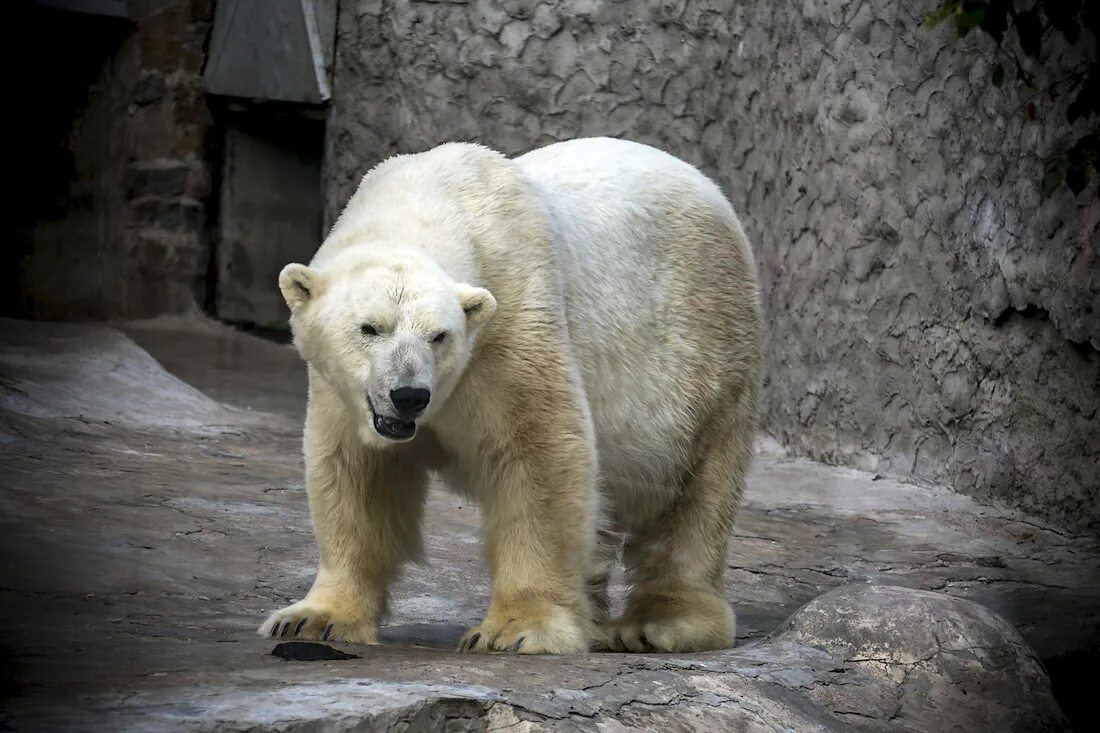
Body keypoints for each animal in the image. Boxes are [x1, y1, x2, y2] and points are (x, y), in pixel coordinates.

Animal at [259, 135, 756, 651]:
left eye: (439, 336)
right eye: (369, 328)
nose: (410, 395)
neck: (431, 196)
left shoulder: (514, 323)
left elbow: (537, 459)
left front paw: (518, 630)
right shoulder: (345, 393)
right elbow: (357, 475)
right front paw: (313, 617)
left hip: (706, 347)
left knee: (694, 490)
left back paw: (663, 623)